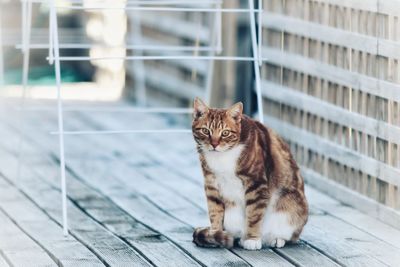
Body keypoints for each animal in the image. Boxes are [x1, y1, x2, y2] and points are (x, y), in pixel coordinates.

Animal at [192, 98, 308, 251]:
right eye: (205, 131)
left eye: (225, 133)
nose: (214, 144)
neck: (222, 158)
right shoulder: (211, 183)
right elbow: (215, 211)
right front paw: (215, 234)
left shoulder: (256, 184)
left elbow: (254, 214)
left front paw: (252, 239)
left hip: (289, 208)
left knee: (290, 235)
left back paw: (275, 239)